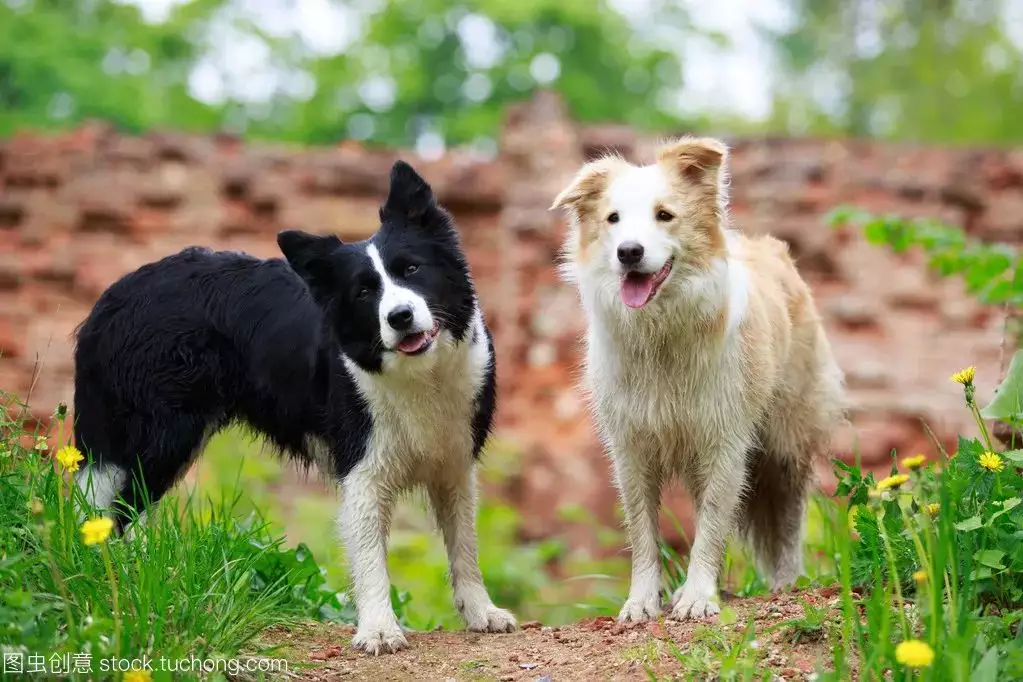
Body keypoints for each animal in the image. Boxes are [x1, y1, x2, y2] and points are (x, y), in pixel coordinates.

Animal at [73, 161, 515, 654]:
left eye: (412, 269)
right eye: (363, 293)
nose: (399, 317)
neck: (419, 374)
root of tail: (113, 296)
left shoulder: (453, 464)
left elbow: (465, 545)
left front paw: (481, 612)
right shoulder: (362, 468)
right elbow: (370, 557)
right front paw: (379, 629)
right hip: (159, 436)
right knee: (110, 508)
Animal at [552, 135, 847, 621]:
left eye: (664, 215)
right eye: (613, 219)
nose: (629, 252)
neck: (661, 335)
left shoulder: (725, 439)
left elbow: (711, 524)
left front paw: (698, 597)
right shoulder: (631, 446)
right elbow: (644, 533)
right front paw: (643, 600)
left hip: (786, 439)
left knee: (788, 514)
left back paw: (787, 582)